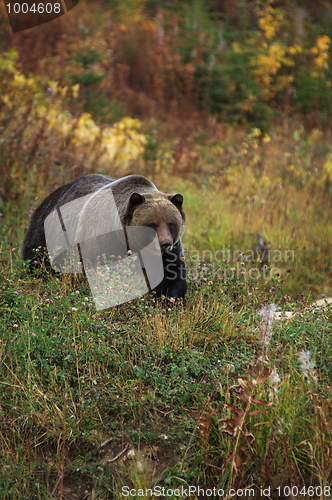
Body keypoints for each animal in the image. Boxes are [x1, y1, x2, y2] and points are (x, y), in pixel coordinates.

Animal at [21, 175, 187, 298]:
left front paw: (169, 299)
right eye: (152, 224)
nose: (165, 243)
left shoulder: (168, 253)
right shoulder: (103, 243)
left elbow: (171, 275)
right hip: (46, 237)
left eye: (171, 223)